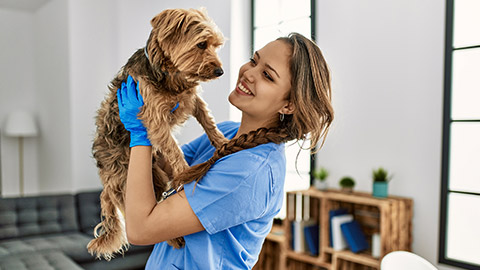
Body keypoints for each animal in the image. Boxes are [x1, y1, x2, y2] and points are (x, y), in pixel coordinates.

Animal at [87, 8, 228, 260]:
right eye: (202, 44)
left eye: (216, 45)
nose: (220, 71)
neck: (172, 74)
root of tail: (105, 181)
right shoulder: (154, 117)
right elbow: (173, 147)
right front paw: (185, 172)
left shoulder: (192, 99)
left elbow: (208, 120)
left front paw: (222, 142)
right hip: (131, 180)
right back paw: (175, 238)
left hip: (155, 175)